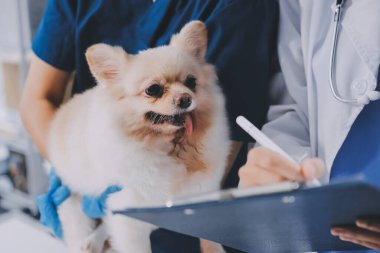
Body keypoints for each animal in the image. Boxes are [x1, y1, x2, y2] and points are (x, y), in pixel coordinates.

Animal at [49, 20, 230, 252]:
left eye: (191, 82)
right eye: (153, 89)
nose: (185, 98)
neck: (169, 149)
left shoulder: (199, 197)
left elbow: (210, 238)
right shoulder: (128, 217)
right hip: (69, 190)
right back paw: (85, 242)